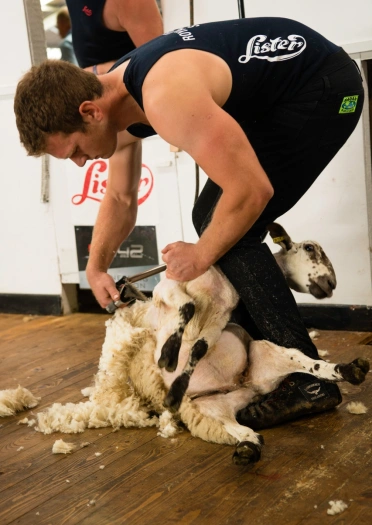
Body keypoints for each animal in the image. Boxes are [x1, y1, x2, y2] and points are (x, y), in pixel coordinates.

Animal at [35, 268, 370, 464]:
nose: (327, 285)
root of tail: (244, 384)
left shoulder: (218, 318)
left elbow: (196, 340)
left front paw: (171, 361)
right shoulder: (169, 295)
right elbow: (186, 313)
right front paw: (169, 358)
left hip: (267, 355)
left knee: (311, 365)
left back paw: (349, 370)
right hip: (214, 406)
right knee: (242, 430)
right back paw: (247, 448)